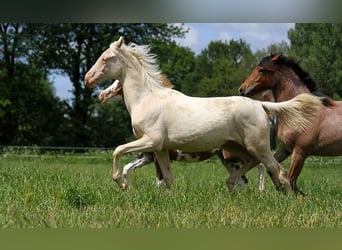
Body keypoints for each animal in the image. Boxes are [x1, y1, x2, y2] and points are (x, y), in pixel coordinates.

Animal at [84, 36, 322, 193]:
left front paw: (122, 183)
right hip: (235, 148)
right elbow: (167, 179)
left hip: (258, 146)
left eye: (106, 58)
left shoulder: (151, 141)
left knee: (278, 171)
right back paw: (231, 184)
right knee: (253, 166)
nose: (87, 79)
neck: (147, 98)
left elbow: (118, 151)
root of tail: (261, 106)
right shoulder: (159, 148)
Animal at [239, 52, 340, 193]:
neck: (299, 111)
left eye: (261, 70)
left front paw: (295, 195)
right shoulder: (285, 148)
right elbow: (272, 170)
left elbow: (291, 178)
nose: (242, 89)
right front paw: (282, 189)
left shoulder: (300, 152)